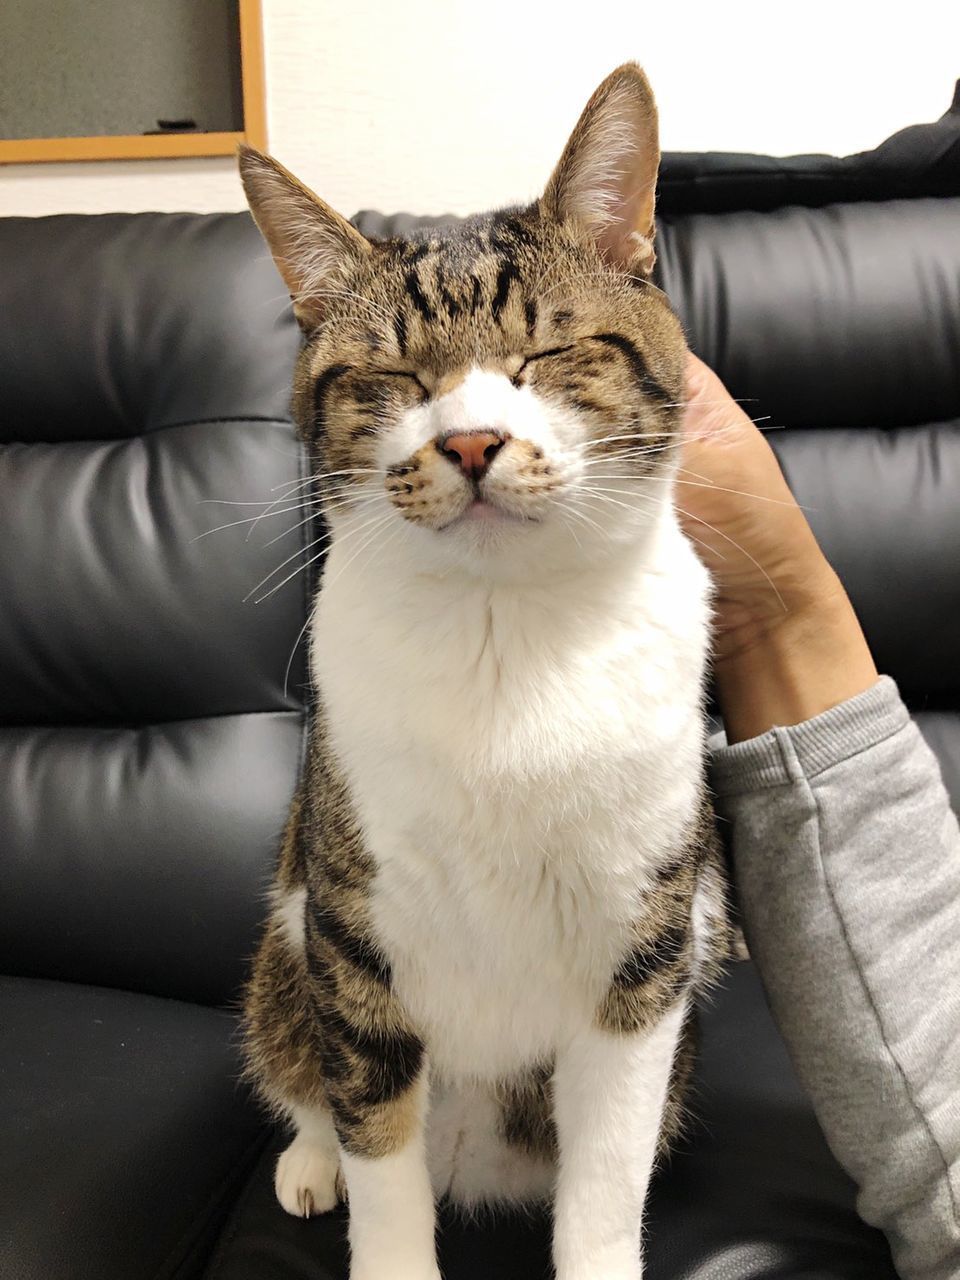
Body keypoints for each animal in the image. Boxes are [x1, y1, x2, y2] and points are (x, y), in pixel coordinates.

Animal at [236, 64, 732, 1280]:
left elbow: (606, 1170)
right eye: (391, 374)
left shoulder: (644, 954)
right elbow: (377, 1147)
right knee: (303, 1071)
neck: (502, 635)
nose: (466, 443)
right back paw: (309, 1160)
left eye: (545, 355)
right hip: (284, 953)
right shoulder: (355, 941)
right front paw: (367, 1206)